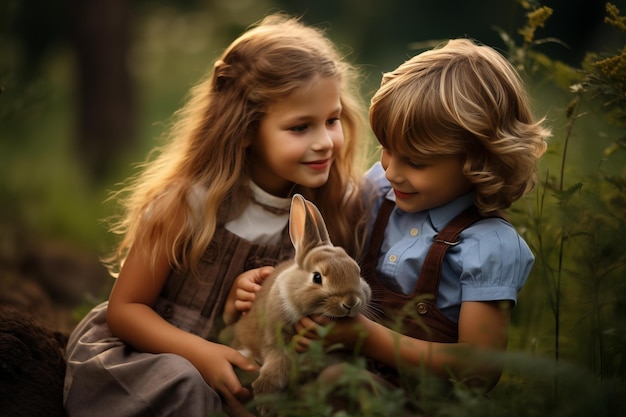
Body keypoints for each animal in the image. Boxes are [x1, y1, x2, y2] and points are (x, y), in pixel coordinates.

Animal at [233, 193, 370, 414]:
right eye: (317, 277)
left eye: (357, 272)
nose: (350, 303)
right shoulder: (276, 342)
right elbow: (276, 367)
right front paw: (265, 402)